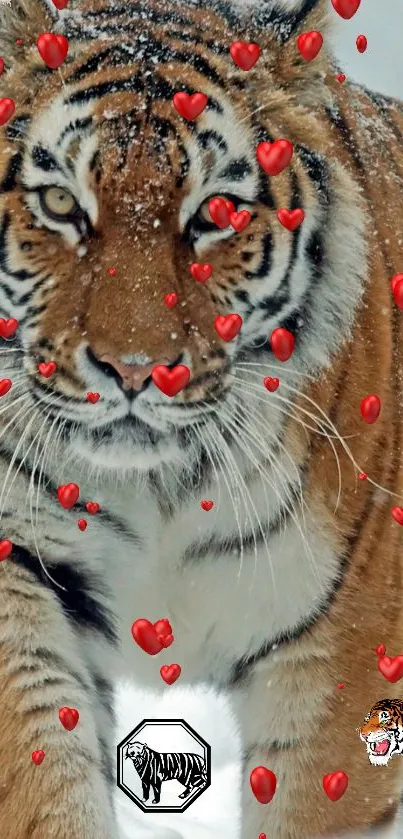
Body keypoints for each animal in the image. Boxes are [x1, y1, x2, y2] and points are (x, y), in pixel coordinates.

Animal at [0, 0, 403, 836]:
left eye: (214, 212)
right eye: (60, 204)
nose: (133, 369)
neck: (157, 486)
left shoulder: (345, 652)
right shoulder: (17, 565)